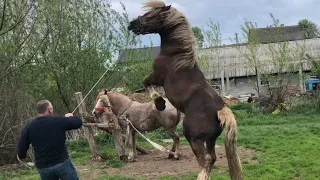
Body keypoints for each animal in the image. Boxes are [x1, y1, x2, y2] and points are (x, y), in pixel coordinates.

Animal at [127, 0, 242, 179]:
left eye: (150, 15)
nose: (132, 24)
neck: (175, 54)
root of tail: (220, 110)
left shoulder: (156, 76)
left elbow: (145, 83)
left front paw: (160, 103)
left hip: (194, 138)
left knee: (205, 160)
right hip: (210, 139)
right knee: (212, 159)